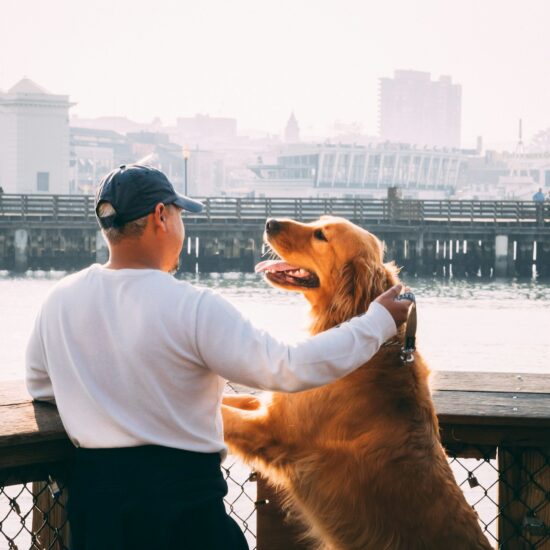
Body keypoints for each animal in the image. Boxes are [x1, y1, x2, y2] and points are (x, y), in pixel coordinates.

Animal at [222, 217, 494, 550]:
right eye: (317, 222)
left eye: (320, 235)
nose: (269, 222)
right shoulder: (271, 405)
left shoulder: (271, 430)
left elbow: (223, 415)